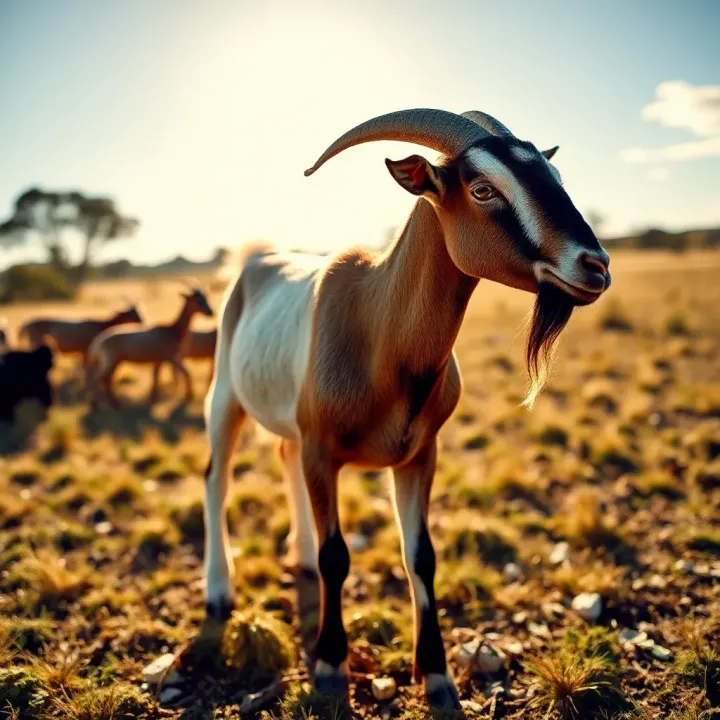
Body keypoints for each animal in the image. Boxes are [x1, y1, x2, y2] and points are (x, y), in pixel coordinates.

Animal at [200, 109, 611, 709]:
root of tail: (257, 260)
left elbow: (421, 555)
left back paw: (297, 556)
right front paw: (330, 666)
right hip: (225, 398)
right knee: (217, 478)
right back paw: (218, 592)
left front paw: (436, 674)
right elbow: (338, 556)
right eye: (482, 189)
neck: (378, 327)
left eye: (554, 176)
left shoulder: (418, 455)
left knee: (282, 457)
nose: (595, 266)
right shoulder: (323, 452)